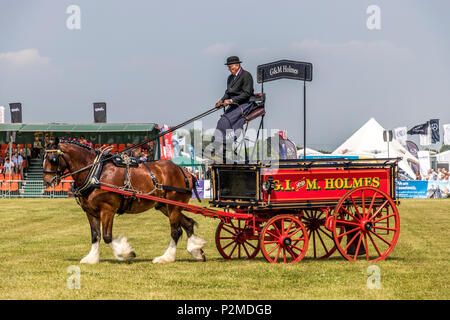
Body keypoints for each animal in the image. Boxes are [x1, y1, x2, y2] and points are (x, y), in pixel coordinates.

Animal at [41, 139, 207, 264]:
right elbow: (95, 235)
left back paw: (166, 258)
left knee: (176, 231)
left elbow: (107, 236)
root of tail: (184, 171)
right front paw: (92, 258)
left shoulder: (107, 210)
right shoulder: (90, 212)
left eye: (53, 159)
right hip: (165, 206)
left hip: (173, 206)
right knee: (188, 223)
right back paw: (196, 251)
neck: (96, 172)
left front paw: (126, 253)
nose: (47, 181)